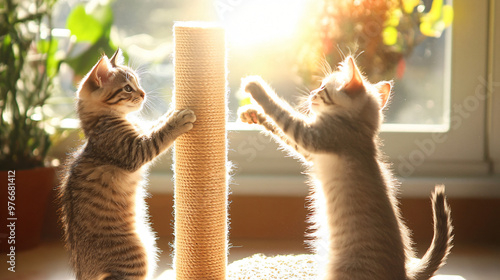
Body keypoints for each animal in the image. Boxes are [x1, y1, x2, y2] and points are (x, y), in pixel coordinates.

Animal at [58, 48, 195, 280]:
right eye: (128, 88)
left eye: (138, 83)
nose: (143, 94)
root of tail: (83, 270)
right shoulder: (134, 151)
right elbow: (159, 134)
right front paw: (177, 120)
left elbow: (155, 124)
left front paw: (170, 111)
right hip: (137, 254)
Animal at [238, 55, 454, 278]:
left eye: (323, 88)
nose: (312, 93)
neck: (359, 129)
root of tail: (403, 273)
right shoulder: (311, 152)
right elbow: (281, 131)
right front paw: (253, 115)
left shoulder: (312, 136)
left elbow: (284, 114)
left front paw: (255, 87)